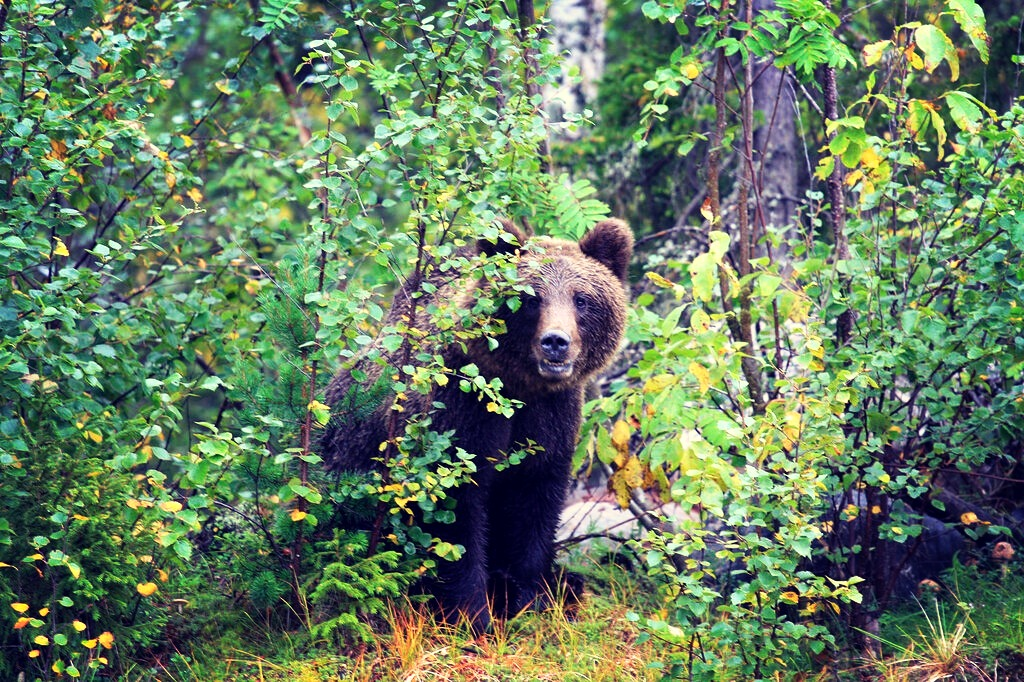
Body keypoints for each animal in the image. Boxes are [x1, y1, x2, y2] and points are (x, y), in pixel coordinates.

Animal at [325, 218, 630, 630]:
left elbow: (534, 504)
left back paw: (567, 584)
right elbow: (455, 517)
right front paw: (473, 614)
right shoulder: (458, 411)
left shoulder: (551, 418)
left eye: (581, 299)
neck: (518, 388)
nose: (556, 342)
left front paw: (528, 600)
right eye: (532, 299)